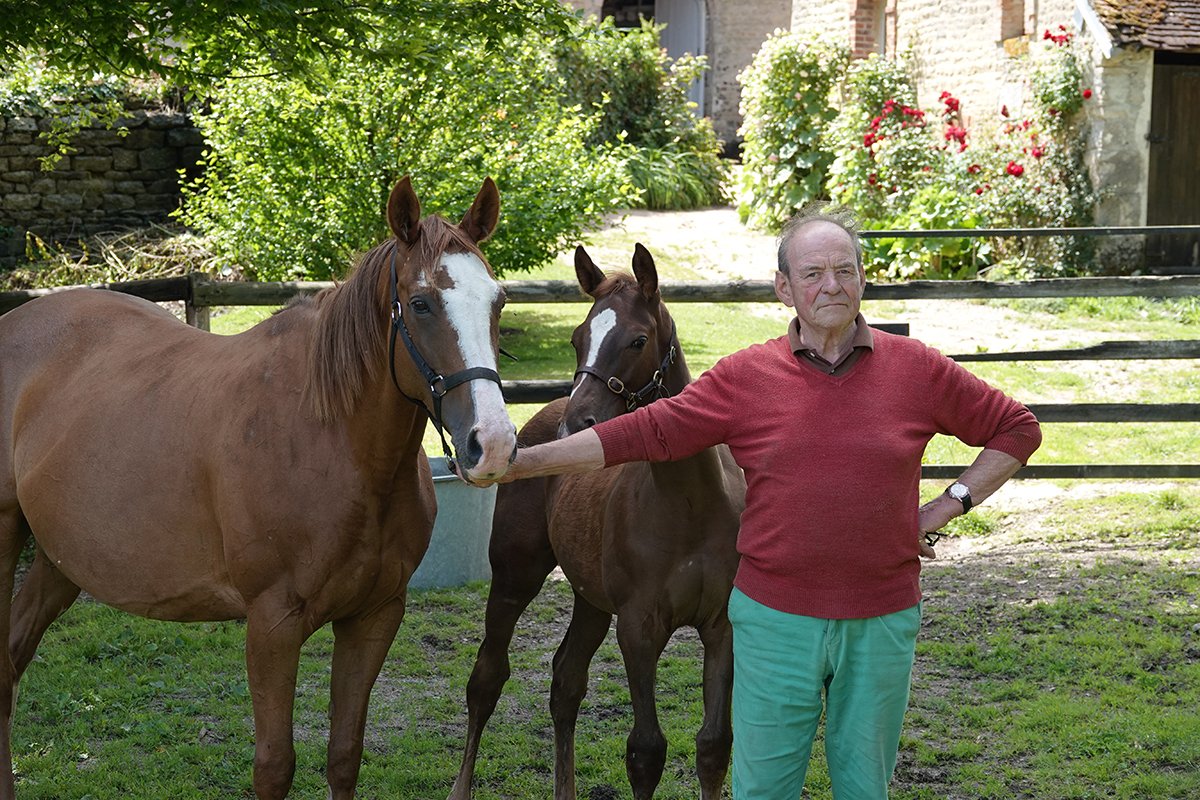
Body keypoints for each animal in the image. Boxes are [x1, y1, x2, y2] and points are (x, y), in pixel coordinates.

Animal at [0, 176, 517, 800]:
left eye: (498, 301)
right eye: (421, 303)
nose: (492, 443)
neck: (333, 442)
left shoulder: (373, 617)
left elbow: (345, 755)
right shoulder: (272, 626)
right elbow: (274, 766)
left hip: (61, 560)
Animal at [448, 243, 746, 800]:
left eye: (638, 340)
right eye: (576, 338)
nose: (575, 427)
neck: (690, 507)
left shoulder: (723, 625)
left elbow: (714, 746)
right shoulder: (638, 628)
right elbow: (646, 752)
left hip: (590, 597)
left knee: (566, 680)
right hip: (515, 576)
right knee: (486, 678)